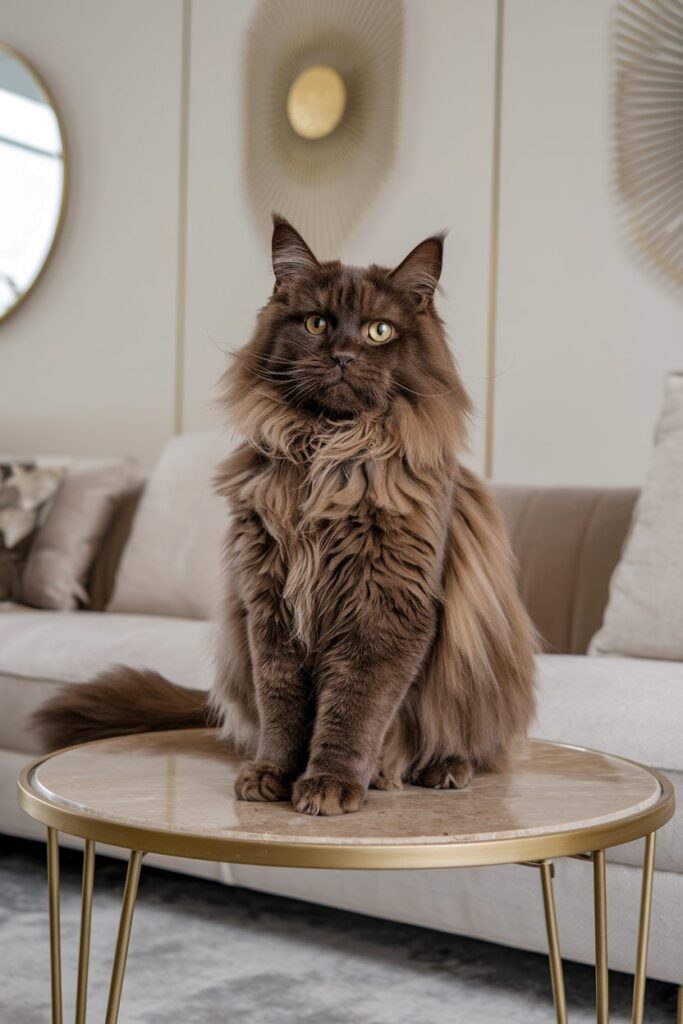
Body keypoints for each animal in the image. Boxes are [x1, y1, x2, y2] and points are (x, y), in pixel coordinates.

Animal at [34, 216, 536, 815]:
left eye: (379, 332)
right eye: (317, 323)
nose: (342, 355)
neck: (329, 455)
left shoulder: (386, 607)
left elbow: (353, 709)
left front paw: (331, 784)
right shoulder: (269, 602)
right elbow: (283, 706)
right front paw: (272, 774)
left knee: (474, 745)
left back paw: (440, 768)